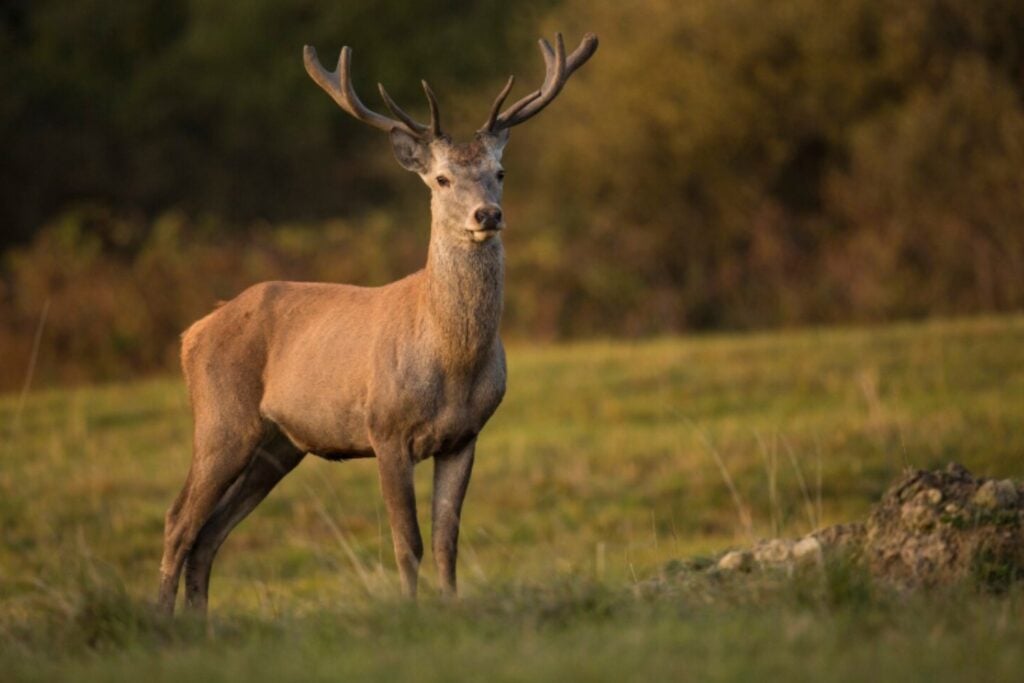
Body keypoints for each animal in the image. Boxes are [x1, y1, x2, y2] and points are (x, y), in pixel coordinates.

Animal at [157, 32, 598, 616]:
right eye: (441, 178)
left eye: (500, 173)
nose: (487, 214)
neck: (452, 362)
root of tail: (192, 333)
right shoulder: (385, 429)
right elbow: (406, 540)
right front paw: (410, 611)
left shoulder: (465, 435)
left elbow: (447, 538)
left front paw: (450, 606)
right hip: (221, 418)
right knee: (179, 519)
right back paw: (161, 619)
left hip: (279, 444)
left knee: (210, 533)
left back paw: (198, 623)